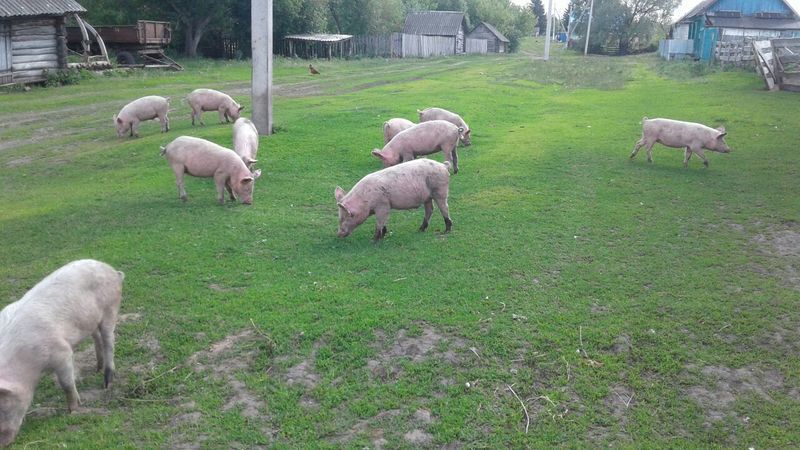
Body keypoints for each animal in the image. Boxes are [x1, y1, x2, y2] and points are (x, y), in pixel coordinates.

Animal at [0, 258, 124, 448]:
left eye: (2, 406)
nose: (2, 443)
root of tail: (111, 270)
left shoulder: (62, 352)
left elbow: (67, 383)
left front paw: (75, 409)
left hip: (110, 308)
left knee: (109, 339)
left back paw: (107, 382)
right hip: (90, 319)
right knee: (96, 337)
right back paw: (97, 368)